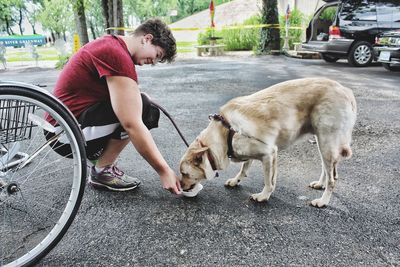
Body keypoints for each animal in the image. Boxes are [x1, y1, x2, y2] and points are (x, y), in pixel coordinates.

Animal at [180, 77, 358, 207]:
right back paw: (320, 184)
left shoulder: (269, 154)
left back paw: (323, 201)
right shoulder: (249, 151)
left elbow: (268, 181)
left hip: (326, 142)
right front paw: (236, 180)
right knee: (327, 169)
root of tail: (345, 90)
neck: (226, 131)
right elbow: (244, 168)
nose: (180, 187)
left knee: (333, 179)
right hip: (322, 142)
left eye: (185, 174)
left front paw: (264, 196)